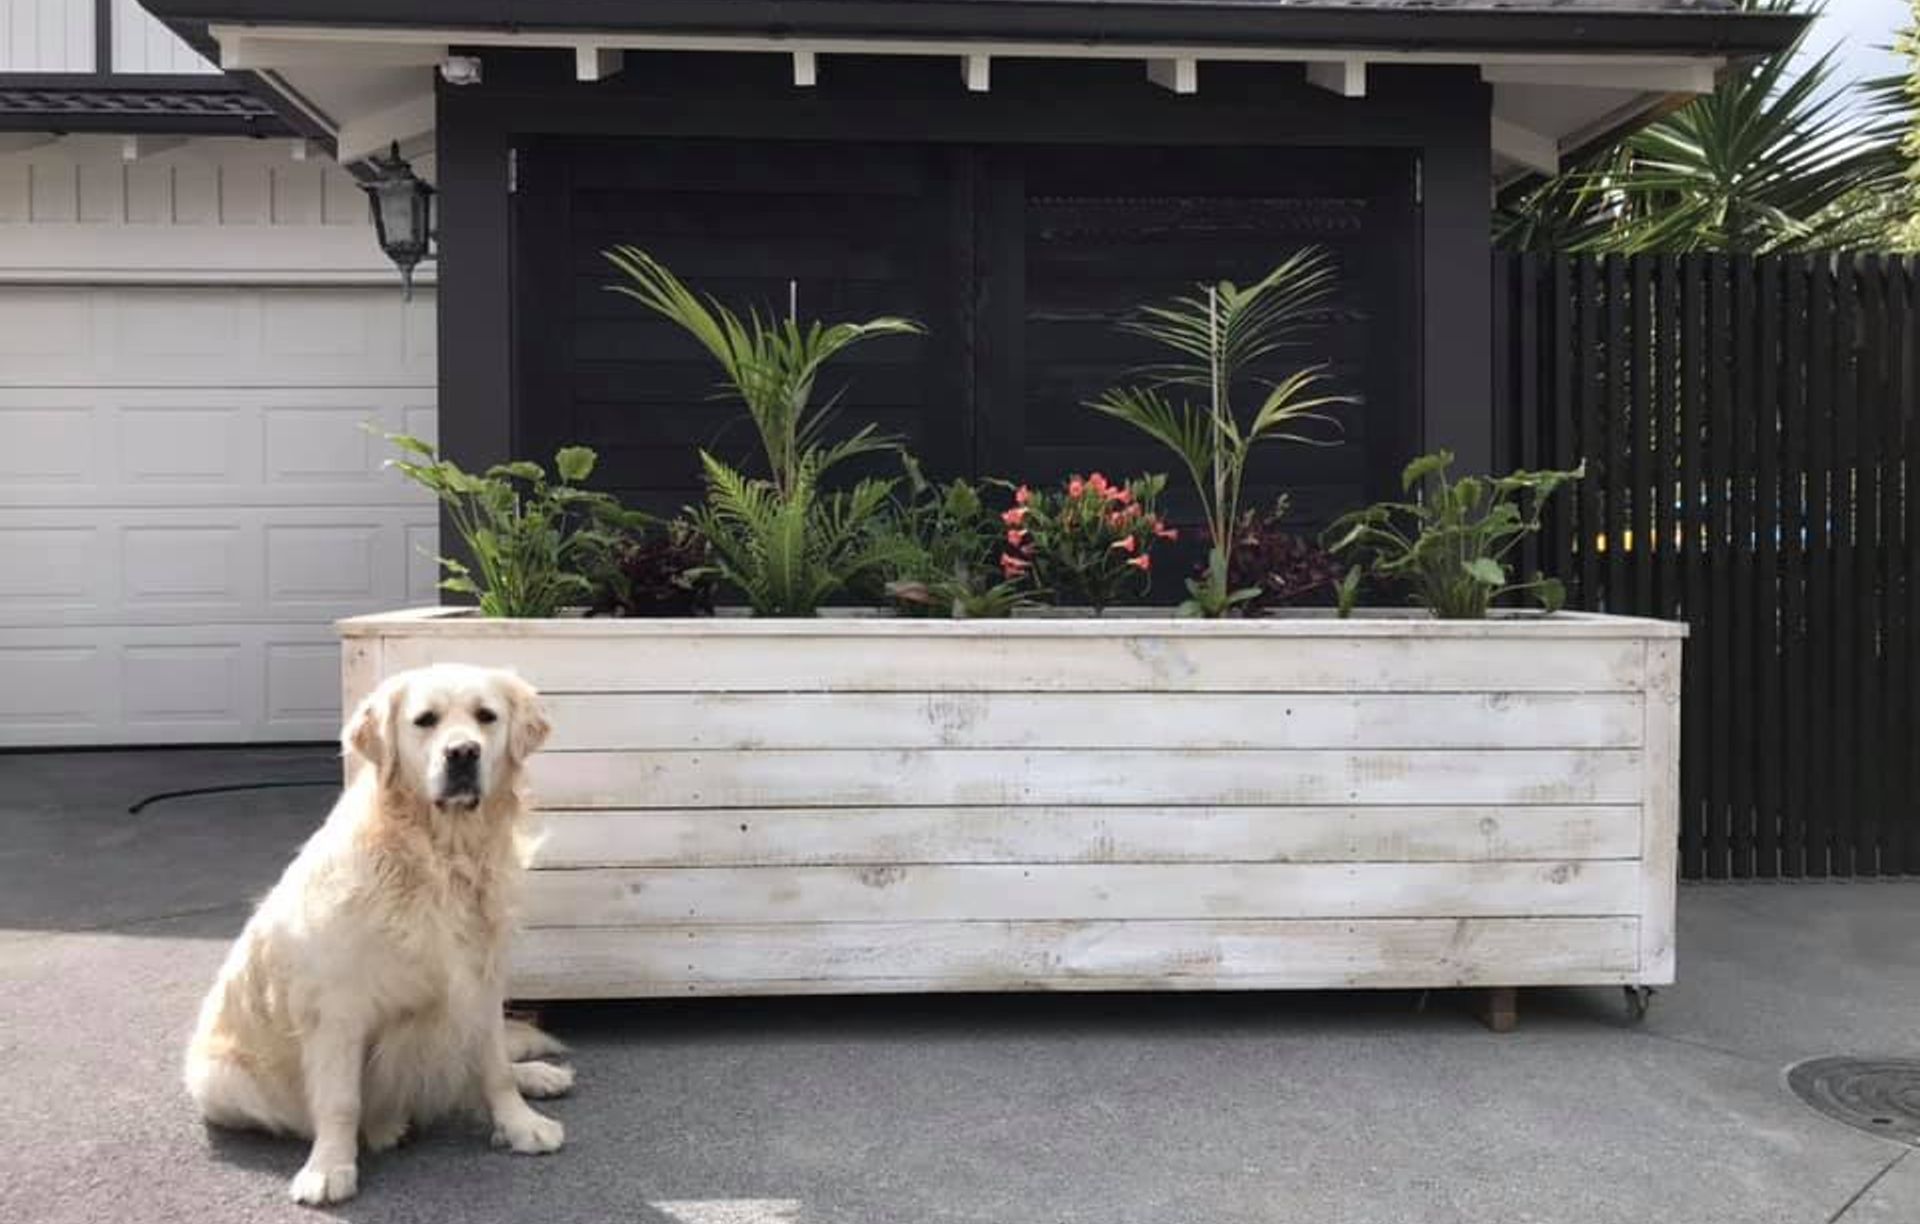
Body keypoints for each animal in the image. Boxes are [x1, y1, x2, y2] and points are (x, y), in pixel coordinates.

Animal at [186, 667, 576, 1204]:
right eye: (425, 720)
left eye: (486, 716)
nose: (463, 753)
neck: (440, 856)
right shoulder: (337, 1006)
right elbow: (340, 1100)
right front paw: (330, 1166)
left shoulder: (480, 980)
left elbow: (494, 1068)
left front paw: (520, 1124)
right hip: (220, 1077)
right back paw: (384, 1125)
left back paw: (536, 1075)